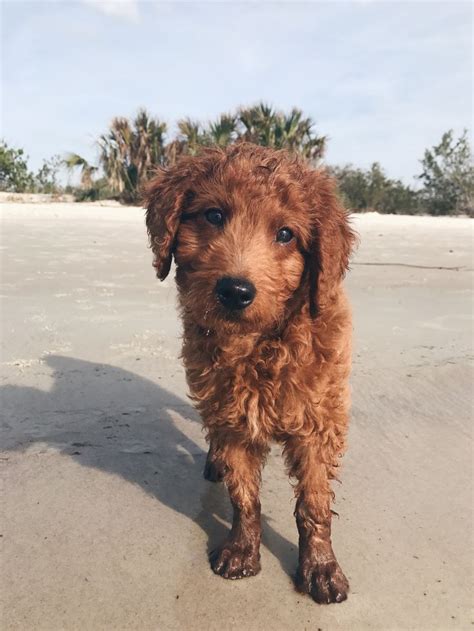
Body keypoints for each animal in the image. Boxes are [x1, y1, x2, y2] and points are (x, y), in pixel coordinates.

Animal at [144, 144, 356, 608]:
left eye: (286, 234)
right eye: (214, 215)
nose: (235, 291)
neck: (259, 344)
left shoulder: (318, 420)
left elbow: (314, 503)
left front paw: (321, 568)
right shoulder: (233, 417)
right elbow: (244, 496)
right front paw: (242, 549)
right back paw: (214, 465)